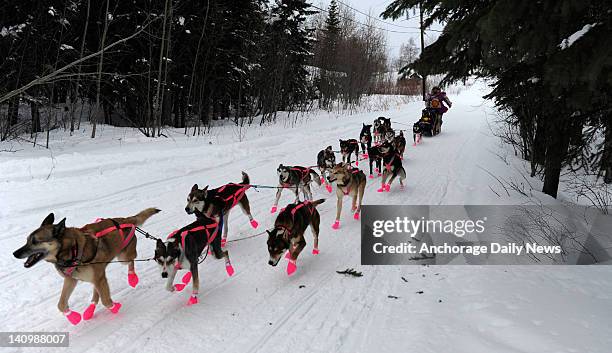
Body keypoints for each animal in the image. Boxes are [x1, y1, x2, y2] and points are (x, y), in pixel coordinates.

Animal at [13, 206, 160, 324]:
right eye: (27, 240)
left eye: (35, 241)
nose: (15, 253)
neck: (71, 250)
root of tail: (125, 220)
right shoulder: (71, 279)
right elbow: (61, 304)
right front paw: (73, 317)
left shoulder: (97, 278)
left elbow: (106, 301)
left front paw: (114, 307)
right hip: (99, 273)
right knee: (96, 292)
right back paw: (90, 310)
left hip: (121, 259)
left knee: (131, 261)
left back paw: (132, 277)